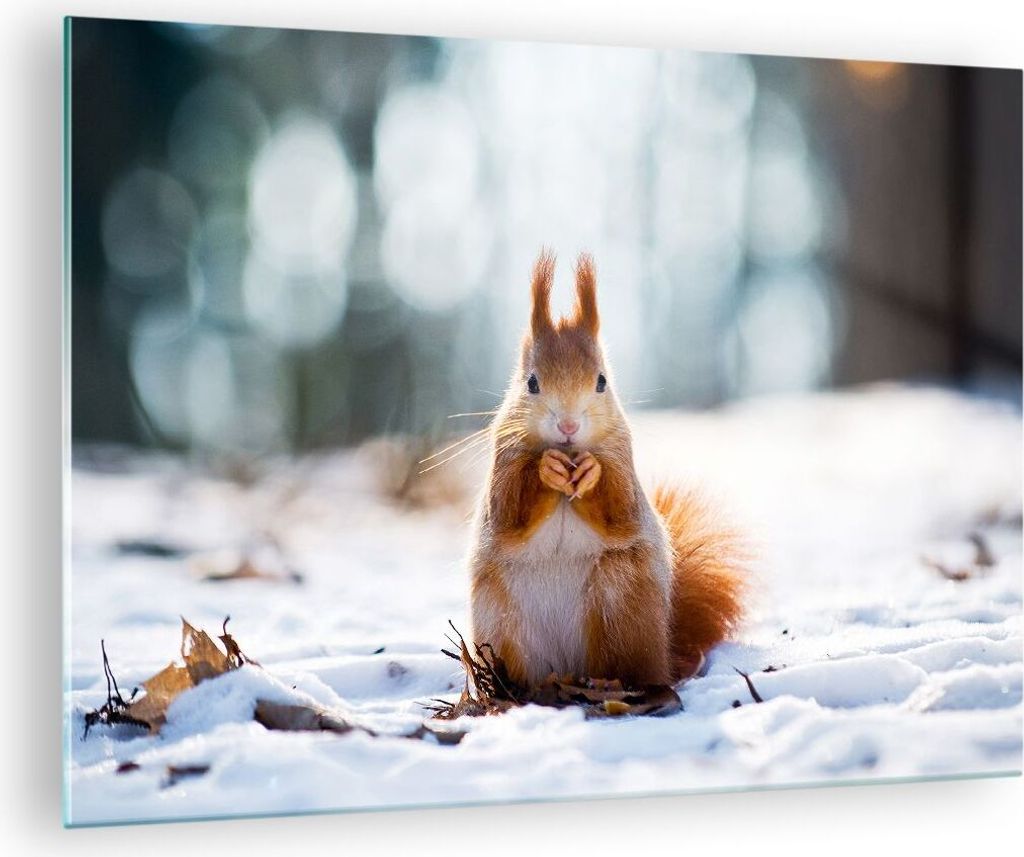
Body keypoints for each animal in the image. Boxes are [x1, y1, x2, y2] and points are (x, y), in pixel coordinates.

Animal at [468, 250, 747, 688]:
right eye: (531, 383)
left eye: (601, 382)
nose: (568, 426)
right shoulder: (504, 460)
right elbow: (509, 512)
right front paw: (546, 468)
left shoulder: (622, 460)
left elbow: (620, 510)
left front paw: (591, 473)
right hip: (499, 618)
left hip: (619, 601)